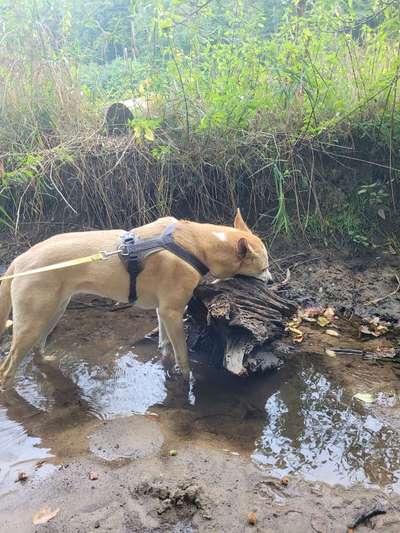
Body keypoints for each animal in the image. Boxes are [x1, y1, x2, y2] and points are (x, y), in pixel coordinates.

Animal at [0, 210, 272, 388]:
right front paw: (187, 379)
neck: (196, 243)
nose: (270, 282)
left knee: (37, 349)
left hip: (53, 312)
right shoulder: (173, 311)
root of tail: (19, 261)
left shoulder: (163, 312)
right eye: (263, 268)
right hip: (31, 323)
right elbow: (183, 356)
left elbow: (164, 347)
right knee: (7, 367)